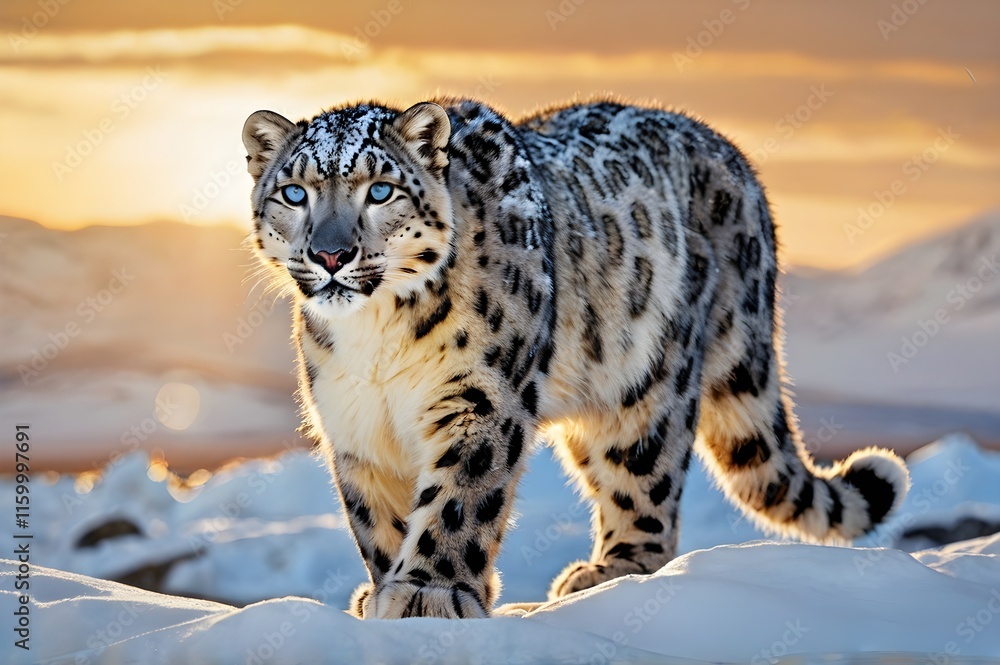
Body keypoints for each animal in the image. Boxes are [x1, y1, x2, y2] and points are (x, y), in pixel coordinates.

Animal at [241, 97, 910, 620]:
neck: (376, 338)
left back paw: (610, 570)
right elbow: (378, 517)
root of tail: (736, 160)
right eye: (294, 193)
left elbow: (459, 497)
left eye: (380, 190)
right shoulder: (355, 422)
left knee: (645, 482)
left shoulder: (483, 396)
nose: (331, 254)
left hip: (647, 384)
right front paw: (385, 589)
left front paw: (431, 593)